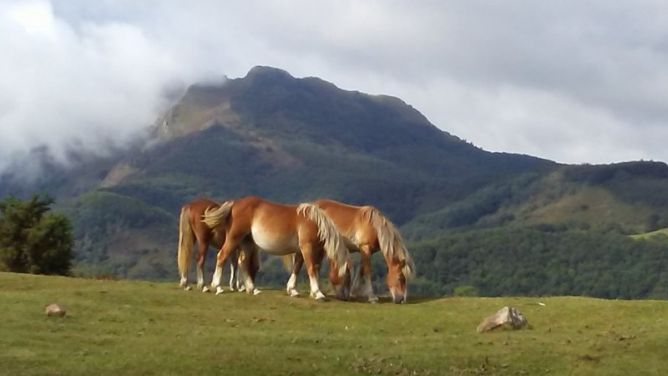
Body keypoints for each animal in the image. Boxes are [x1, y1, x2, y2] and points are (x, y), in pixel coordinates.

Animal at [202, 195, 350, 302]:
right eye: (344, 276)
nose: (345, 297)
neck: (313, 221)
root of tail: (235, 204)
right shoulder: (307, 247)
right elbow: (311, 268)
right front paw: (318, 293)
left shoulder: (300, 250)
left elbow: (297, 268)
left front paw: (292, 290)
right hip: (234, 238)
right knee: (222, 256)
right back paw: (218, 287)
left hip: (247, 242)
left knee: (243, 262)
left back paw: (252, 289)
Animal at [286, 200, 414, 302]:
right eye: (400, 278)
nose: (401, 299)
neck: (374, 226)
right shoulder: (365, 248)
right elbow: (367, 271)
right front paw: (372, 297)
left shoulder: (367, 251)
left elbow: (361, 271)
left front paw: (354, 291)